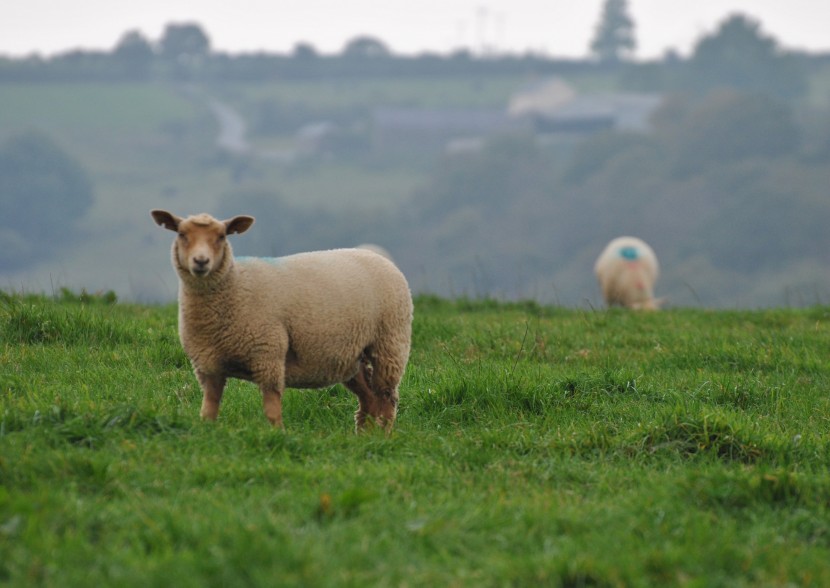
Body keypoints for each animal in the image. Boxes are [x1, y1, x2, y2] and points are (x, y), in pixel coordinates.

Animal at [150, 209, 416, 430]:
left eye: (222, 236)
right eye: (181, 234)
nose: (201, 261)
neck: (234, 287)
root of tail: (378, 257)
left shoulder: (268, 354)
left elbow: (272, 410)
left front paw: (278, 435)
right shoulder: (209, 365)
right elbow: (209, 410)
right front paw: (207, 433)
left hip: (389, 343)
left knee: (387, 399)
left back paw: (383, 435)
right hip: (351, 356)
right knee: (368, 400)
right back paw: (364, 437)